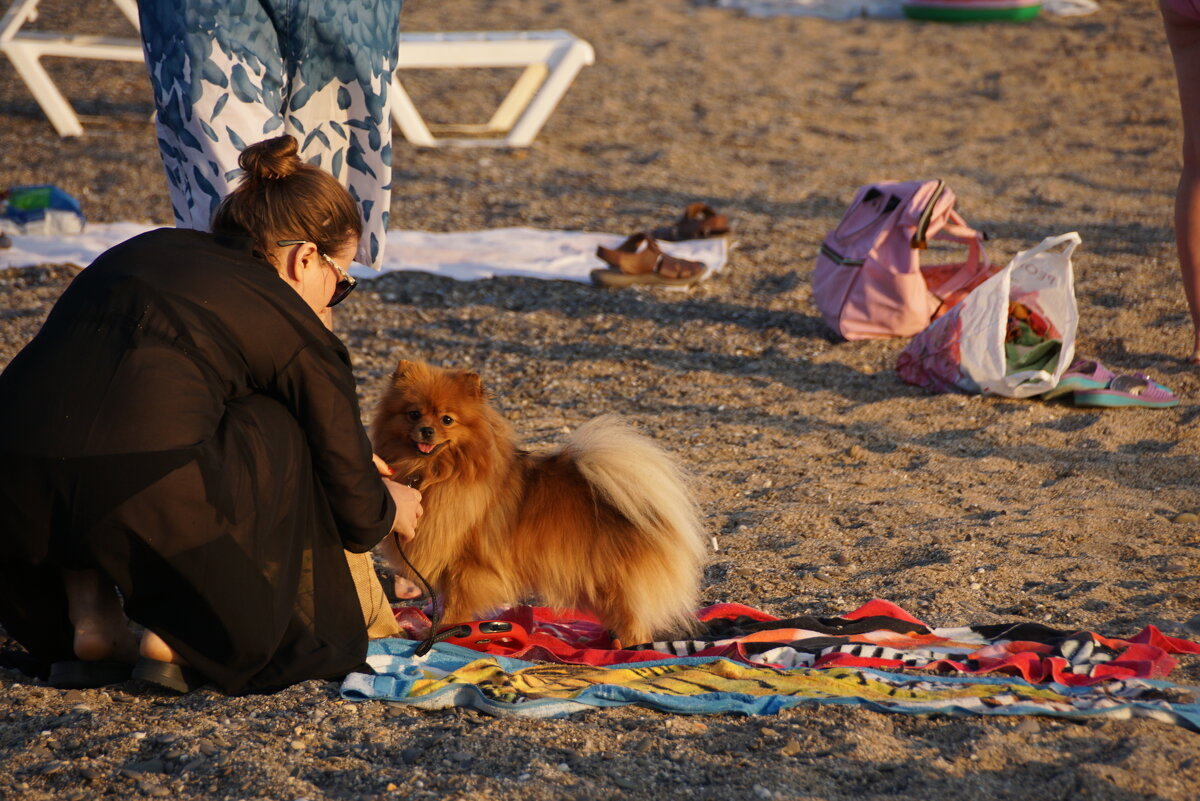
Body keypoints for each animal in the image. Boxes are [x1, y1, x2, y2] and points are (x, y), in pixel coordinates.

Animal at [364, 362, 700, 642]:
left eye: (447, 419)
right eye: (413, 414)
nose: (426, 430)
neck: (435, 473)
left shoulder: (467, 567)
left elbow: (454, 607)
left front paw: (445, 634)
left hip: (609, 582)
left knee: (634, 624)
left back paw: (629, 650)